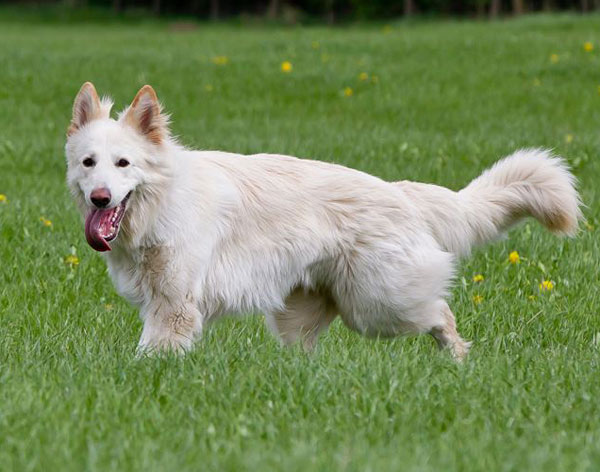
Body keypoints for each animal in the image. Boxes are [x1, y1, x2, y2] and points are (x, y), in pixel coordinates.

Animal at [65, 83, 580, 360]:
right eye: (89, 163)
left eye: (124, 163)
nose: (100, 197)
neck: (164, 200)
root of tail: (399, 192)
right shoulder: (162, 303)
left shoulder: (173, 308)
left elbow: (149, 354)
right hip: (298, 317)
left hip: (379, 305)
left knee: (440, 313)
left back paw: (456, 359)